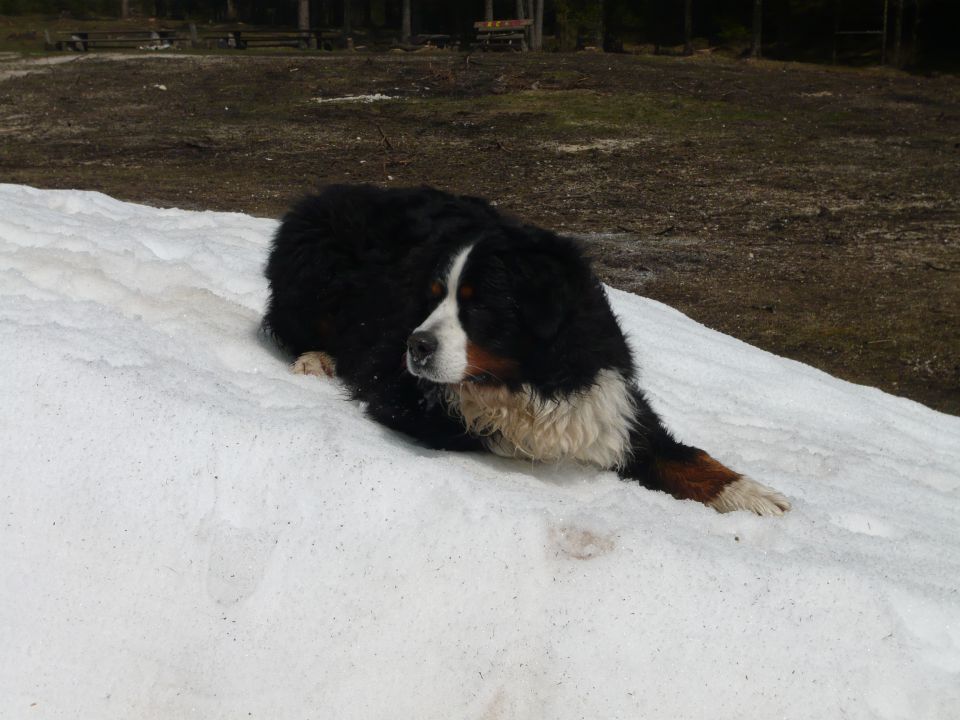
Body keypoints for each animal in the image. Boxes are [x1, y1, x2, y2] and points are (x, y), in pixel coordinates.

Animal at [262, 183, 788, 516]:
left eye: (479, 305)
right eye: (432, 296)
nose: (416, 346)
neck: (536, 377)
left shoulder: (612, 395)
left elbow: (682, 454)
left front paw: (750, 494)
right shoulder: (400, 394)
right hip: (312, 260)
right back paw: (315, 359)